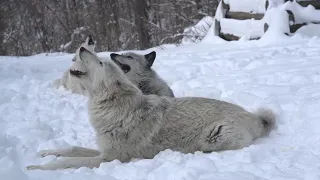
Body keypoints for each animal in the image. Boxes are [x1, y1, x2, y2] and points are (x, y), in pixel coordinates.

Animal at [26, 46, 276, 170]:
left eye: (100, 62)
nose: (81, 47)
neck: (114, 108)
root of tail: (257, 118)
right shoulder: (102, 150)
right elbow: (71, 148)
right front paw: (45, 153)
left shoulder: (109, 158)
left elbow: (68, 162)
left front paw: (37, 168)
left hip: (213, 139)